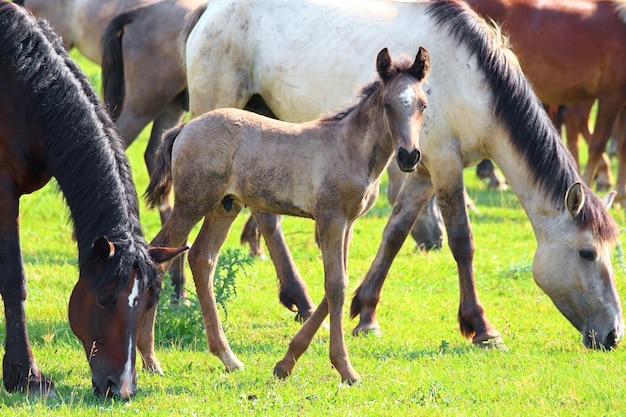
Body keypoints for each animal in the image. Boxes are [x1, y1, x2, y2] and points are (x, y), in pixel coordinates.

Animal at [0, 4, 184, 400]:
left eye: (148, 304)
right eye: (103, 300)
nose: (121, 387)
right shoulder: (5, 196)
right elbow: (13, 279)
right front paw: (26, 375)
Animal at [146, 47, 428, 382]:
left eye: (423, 104)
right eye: (387, 104)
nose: (409, 156)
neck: (350, 147)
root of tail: (184, 128)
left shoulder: (348, 222)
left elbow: (337, 284)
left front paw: (285, 363)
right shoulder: (331, 218)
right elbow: (336, 285)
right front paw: (345, 369)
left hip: (225, 206)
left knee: (202, 258)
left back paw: (228, 357)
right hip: (192, 202)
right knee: (158, 254)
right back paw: (150, 360)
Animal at [184, 0, 620, 352]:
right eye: (587, 253)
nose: (614, 334)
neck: (469, 78)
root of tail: (210, 11)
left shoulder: (423, 170)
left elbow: (395, 233)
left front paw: (365, 313)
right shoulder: (445, 165)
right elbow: (462, 241)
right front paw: (481, 326)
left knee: (265, 214)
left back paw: (301, 300)